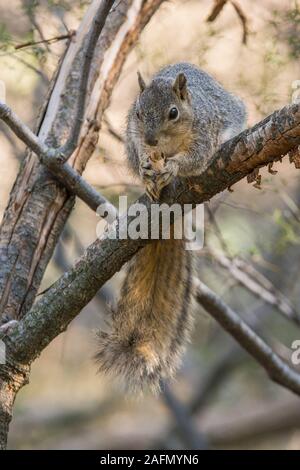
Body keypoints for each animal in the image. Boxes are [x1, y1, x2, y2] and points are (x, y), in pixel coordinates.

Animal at [96, 62, 246, 392]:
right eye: (138, 112)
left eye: (173, 113)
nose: (152, 141)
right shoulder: (135, 137)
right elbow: (142, 157)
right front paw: (146, 169)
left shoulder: (205, 132)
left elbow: (196, 159)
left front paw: (174, 167)